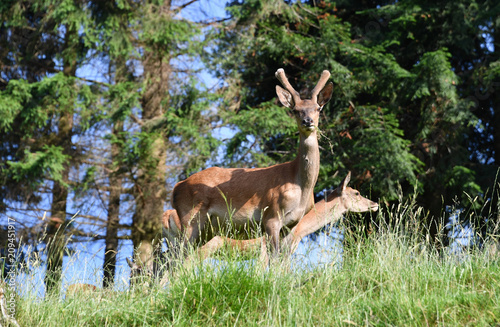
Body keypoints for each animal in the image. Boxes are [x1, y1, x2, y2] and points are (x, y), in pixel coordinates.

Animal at [171, 68, 332, 254]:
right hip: (190, 218)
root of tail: (176, 189)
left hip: (207, 230)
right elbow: (274, 256)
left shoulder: (291, 224)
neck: (301, 187)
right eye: (296, 110)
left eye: (318, 108)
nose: (308, 121)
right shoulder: (271, 216)